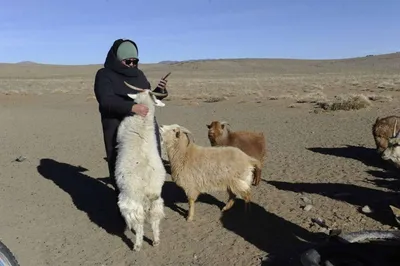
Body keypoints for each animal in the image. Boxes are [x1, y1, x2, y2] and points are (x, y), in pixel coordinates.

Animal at [114, 80, 167, 250]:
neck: (142, 121)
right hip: (157, 200)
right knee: (155, 219)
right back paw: (156, 240)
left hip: (130, 201)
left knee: (139, 223)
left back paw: (137, 245)